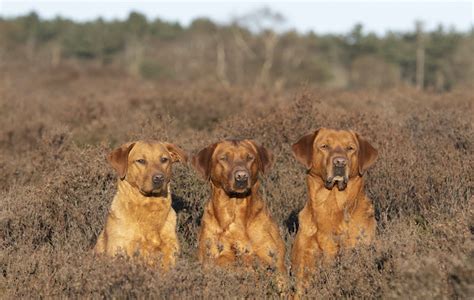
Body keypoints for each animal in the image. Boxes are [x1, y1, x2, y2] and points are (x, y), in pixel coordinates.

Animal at [192, 139, 286, 274]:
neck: (235, 208)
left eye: (250, 158)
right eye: (224, 158)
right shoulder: (211, 260)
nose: (241, 177)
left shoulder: (275, 263)